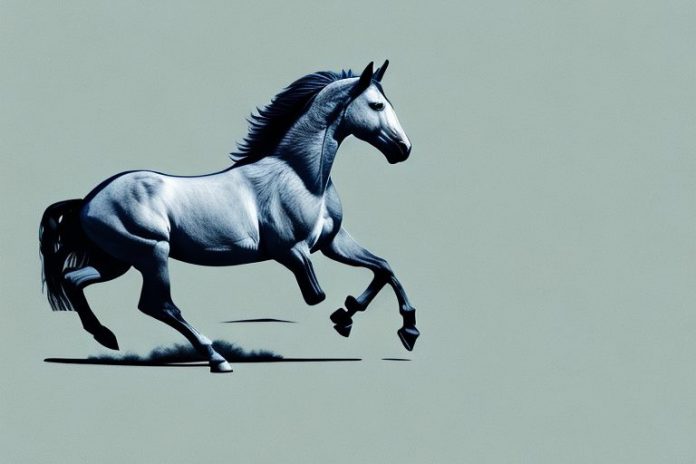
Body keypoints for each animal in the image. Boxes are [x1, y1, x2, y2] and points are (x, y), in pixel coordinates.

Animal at [39, 61, 419, 373]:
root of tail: (87, 201)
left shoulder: (331, 243)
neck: (299, 176)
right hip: (151, 253)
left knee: (75, 280)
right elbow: (318, 295)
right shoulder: (290, 252)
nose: (403, 149)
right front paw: (345, 316)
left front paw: (395, 327)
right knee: (158, 305)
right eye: (376, 105)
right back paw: (216, 358)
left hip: (117, 260)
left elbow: (384, 268)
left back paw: (105, 336)